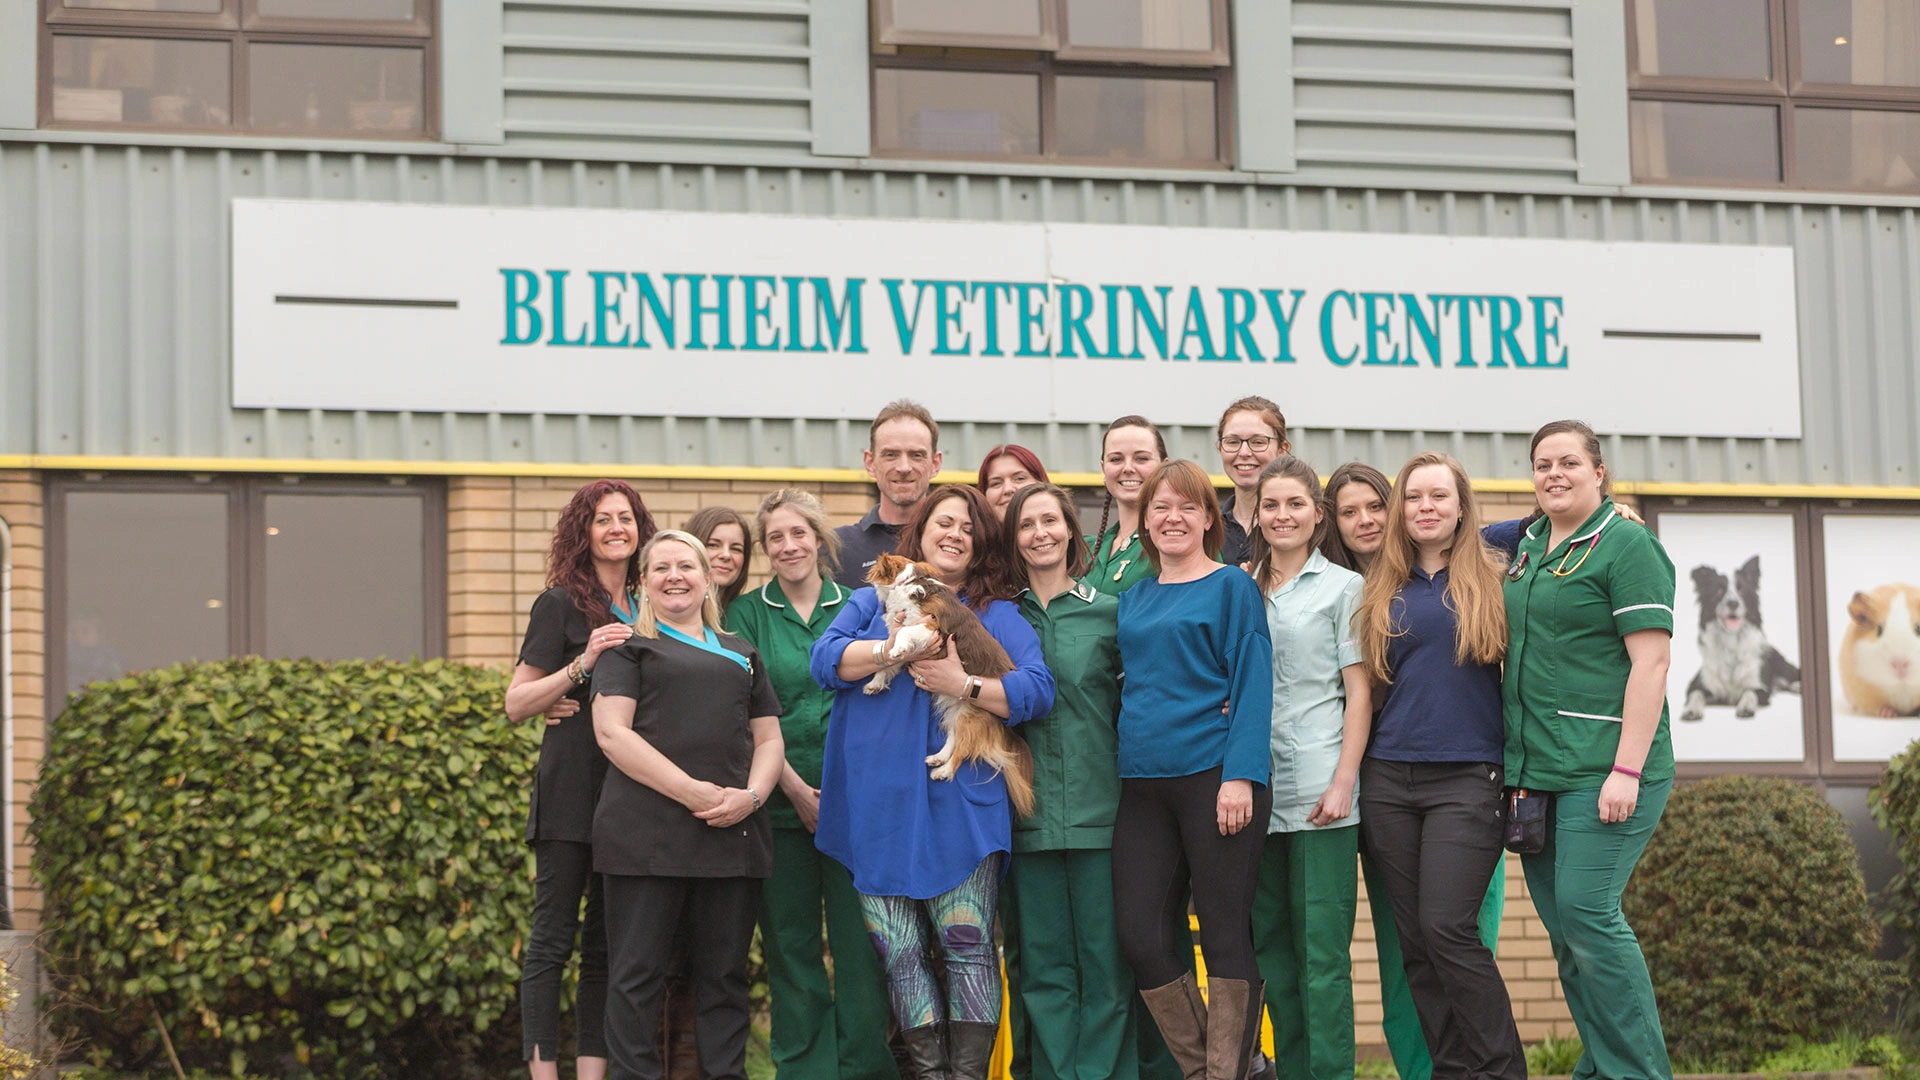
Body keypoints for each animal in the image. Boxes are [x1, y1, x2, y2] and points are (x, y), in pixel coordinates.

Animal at [867, 553, 1036, 814]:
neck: (906, 585)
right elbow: (888, 661)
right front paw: (876, 680)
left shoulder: (930, 627)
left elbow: (903, 635)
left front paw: (895, 650)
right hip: (955, 711)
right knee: (954, 738)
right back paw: (938, 757)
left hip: (971, 716)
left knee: (963, 750)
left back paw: (944, 770)